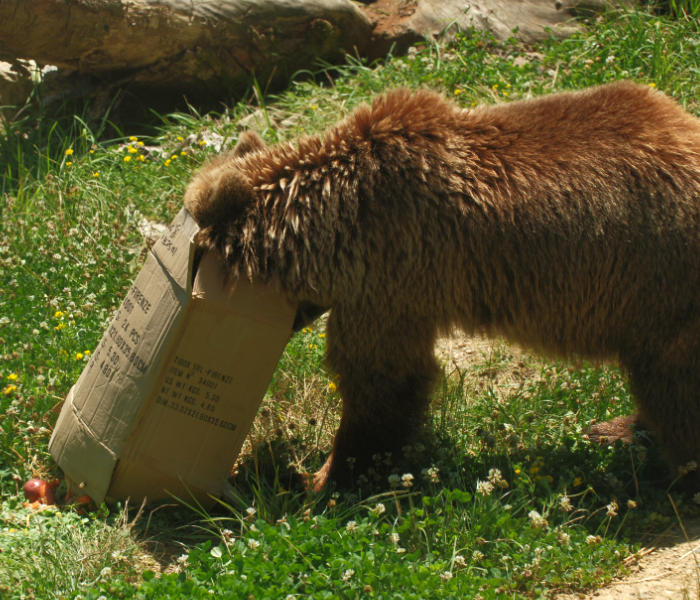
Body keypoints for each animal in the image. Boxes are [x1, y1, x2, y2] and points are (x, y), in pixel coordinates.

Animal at [185, 81, 700, 492]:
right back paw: (618, 428)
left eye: (197, 253)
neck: (335, 223)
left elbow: (380, 379)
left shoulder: (390, 274)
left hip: (659, 286)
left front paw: (322, 478)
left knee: (673, 383)